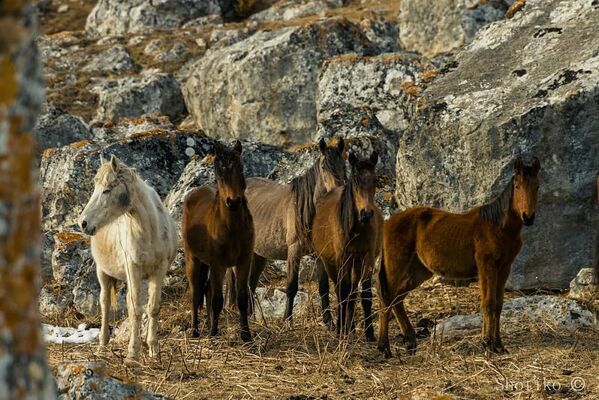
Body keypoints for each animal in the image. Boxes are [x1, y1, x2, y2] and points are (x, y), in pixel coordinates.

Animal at [78, 155, 176, 360]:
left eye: (107, 190)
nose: (83, 223)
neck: (150, 230)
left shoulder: (159, 270)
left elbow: (153, 308)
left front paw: (154, 350)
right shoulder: (133, 269)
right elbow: (135, 310)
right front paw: (132, 355)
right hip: (103, 272)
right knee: (105, 304)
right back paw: (102, 346)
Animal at [182, 140, 254, 340]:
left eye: (240, 167)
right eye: (219, 172)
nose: (233, 202)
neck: (232, 228)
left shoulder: (244, 261)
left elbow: (242, 298)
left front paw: (246, 335)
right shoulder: (218, 264)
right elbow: (217, 300)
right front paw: (214, 333)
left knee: (206, 290)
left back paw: (207, 326)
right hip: (194, 260)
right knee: (196, 293)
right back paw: (196, 331)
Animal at [243, 139, 346, 320]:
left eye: (343, 164)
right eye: (323, 166)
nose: (338, 191)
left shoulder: (320, 253)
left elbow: (324, 288)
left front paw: (329, 322)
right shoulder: (294, 250)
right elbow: (291, 287)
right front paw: (287, 320)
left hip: (259, 254)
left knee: (251, 283)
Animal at [312, 152, 382, 340]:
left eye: (375, 180)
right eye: (355, 181)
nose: (366, 214)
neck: (356, 229)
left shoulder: (367, 257)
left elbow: (365, 295)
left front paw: (369, 333)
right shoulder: (342, 258)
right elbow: (342, 291)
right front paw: (341, 331)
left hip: (355, 263)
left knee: (352, 291)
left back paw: (350, 326)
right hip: (328, 262)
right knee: (339, 289)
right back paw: (342, 327)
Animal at [380, 156, 544, 356]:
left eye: (537, 186)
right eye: (518, 186)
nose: (528, 217)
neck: (499, 227)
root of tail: (388, 222)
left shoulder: (504, 268)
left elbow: (498, 305)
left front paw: (497, 345)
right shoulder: (487, 267)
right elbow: (489, 304)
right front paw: (489, 344)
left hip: (419, 271)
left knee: (397, 299)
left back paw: (410, 341)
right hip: (396, 266)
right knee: (386, 299)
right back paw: (384, 347)